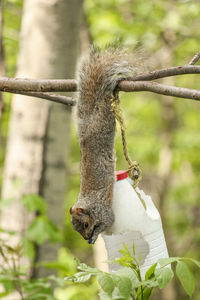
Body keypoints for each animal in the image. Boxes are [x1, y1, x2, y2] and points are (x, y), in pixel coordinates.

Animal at [69, 46, 141, 244]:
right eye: (75, 229)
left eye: (86, 224)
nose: (86, 240)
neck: (89, 205)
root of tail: (89, 119)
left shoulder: (104, 212)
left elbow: (109, 222)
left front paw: (95, 236)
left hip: (104, 122)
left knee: (105, 104)